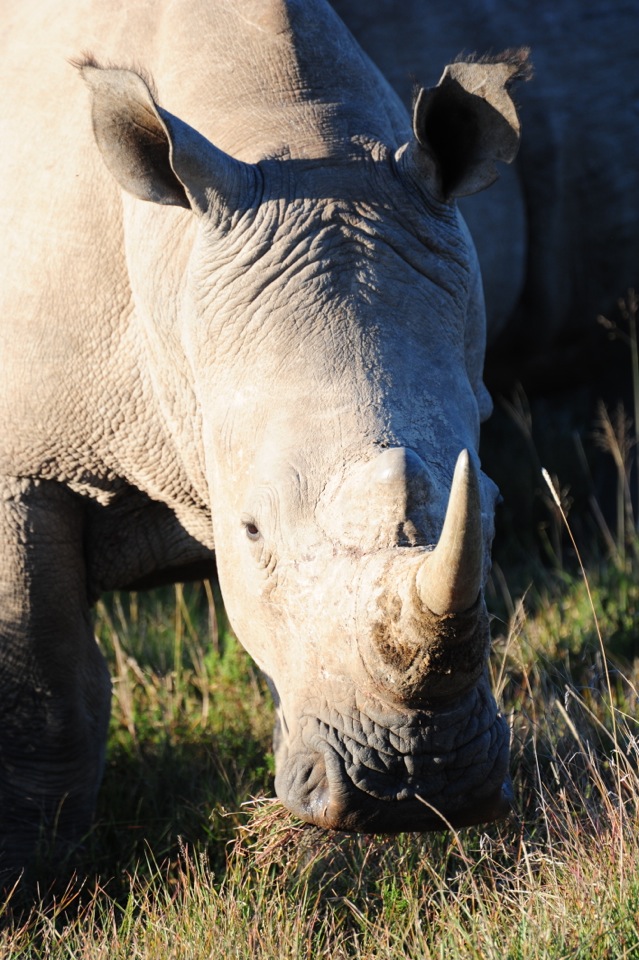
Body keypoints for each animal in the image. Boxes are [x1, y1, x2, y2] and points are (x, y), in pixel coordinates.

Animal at [0, 0, 526, 876]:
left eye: (490, 509)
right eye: (249, 532)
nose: (418, 783)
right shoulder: (22, 467)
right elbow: (41, 697)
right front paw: (31, 879)